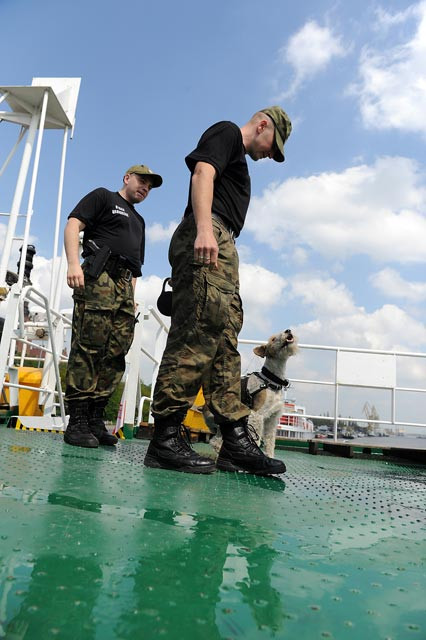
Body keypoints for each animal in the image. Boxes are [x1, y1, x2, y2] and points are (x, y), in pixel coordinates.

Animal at [208, 330, 298, 460]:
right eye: (273, 339)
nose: (288, 330)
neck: (271, 380)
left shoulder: (272, 418)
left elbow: (270, 441)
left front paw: (270, 457)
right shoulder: (257, 414)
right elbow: (257, 439)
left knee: (217, 440)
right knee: (215, 441)